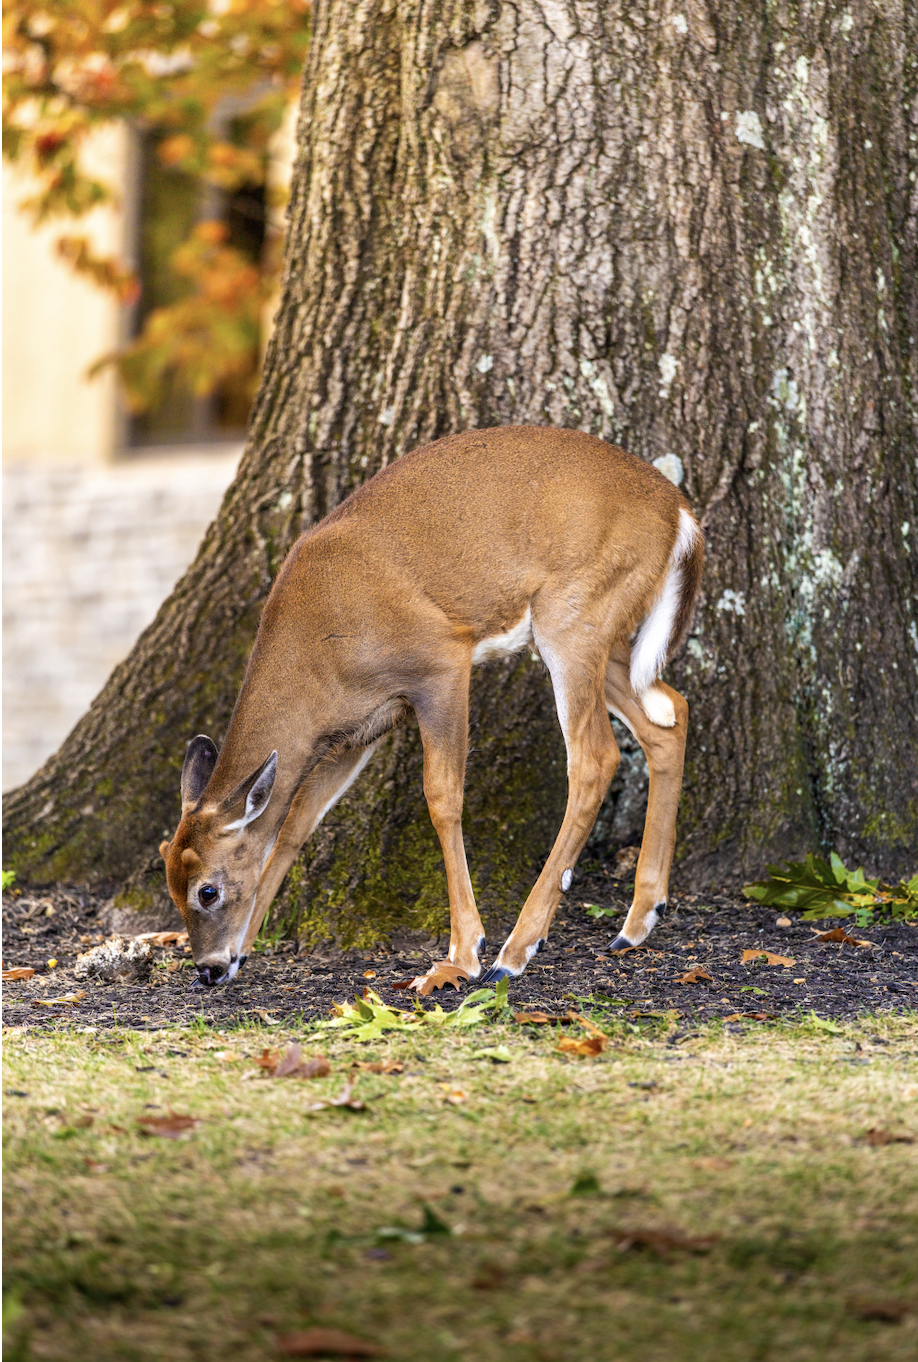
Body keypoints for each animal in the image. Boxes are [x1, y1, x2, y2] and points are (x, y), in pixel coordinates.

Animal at [159, 426, 704, 990]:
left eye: (207, 890)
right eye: (169, 884)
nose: (208, 970)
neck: (317, 653)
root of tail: (680, 513)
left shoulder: (440, 662)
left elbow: (442, 798)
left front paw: (463, 953)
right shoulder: (354, 731)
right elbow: (295, 826)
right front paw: (245, 949)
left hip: (573, 616)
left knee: (596, 757)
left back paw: (516, 950)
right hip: (595, 631)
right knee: (669, 714)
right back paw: (638, 920)